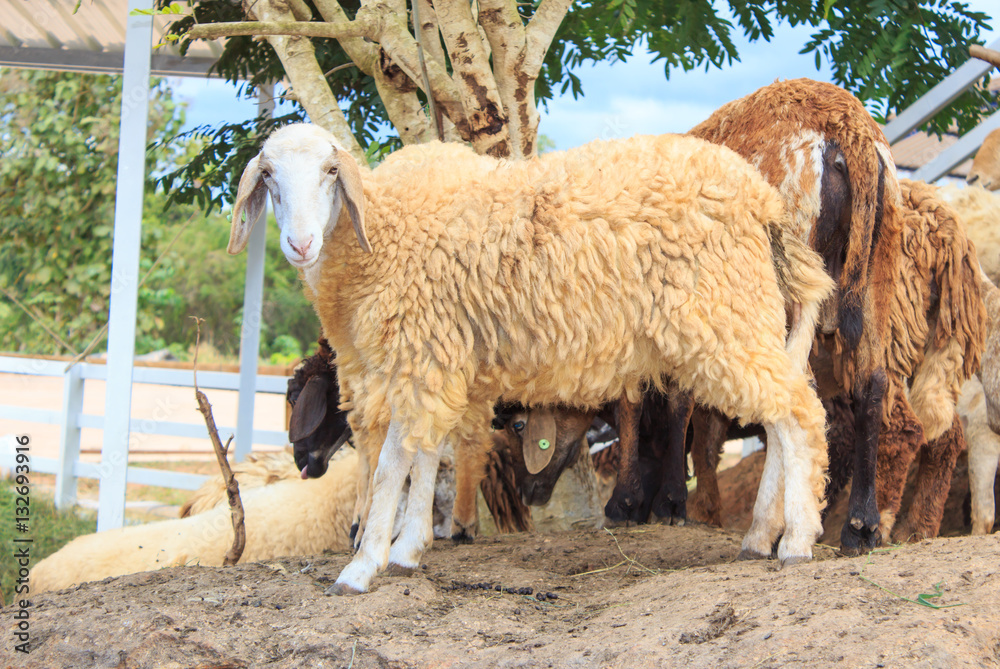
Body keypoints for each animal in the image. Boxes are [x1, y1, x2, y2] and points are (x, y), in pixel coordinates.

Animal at [229, 122, 836, 592]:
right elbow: (427, 455)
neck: (381, 235)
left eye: (331, 172)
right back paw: (759, 536)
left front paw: (363, 565)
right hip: (749, 317)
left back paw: (797, 541)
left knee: (800, 415)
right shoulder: (437, 362)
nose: (300, 245)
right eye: (269, 177)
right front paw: (408, 550)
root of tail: (765, 201)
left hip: (724, 319)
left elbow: (392, 465)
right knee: (782, 418)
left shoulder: (418, 356)